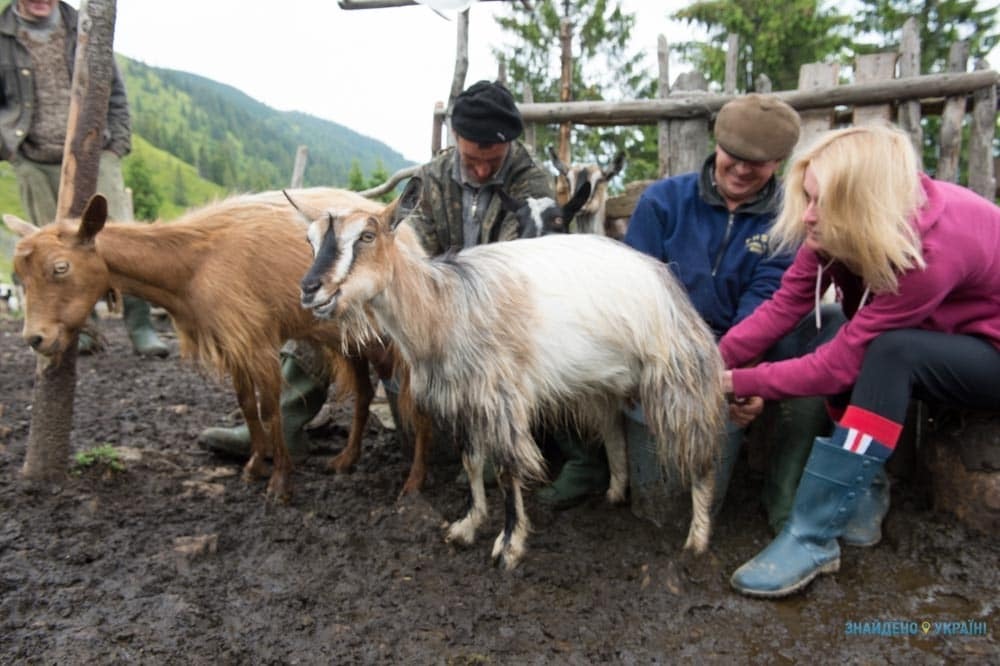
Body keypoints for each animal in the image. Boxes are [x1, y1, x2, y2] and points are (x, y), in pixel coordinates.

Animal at [4, 187, 434, 498]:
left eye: (61, 268)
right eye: (19, 275)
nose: (36, 338)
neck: (194, 261)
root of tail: (410, 236)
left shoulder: (256, 337)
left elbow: (270, 409)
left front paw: (280, 482)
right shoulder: (233, 341)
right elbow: (246, 404)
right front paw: (255, 465)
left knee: (413, 399)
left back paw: (413, 480)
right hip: (351, 340)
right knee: (363, 392)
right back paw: (346, 459)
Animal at [296, 201, 728, 564]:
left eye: (367, 236)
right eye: (310, 240)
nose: (310, 289)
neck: (443, 306)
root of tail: (663, 277)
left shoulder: (500, 397)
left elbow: (507, 471)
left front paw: (509, 545)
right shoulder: (464, 398)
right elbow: (472, 463)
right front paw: (467, 525)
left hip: (677, 374)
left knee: (700, 453)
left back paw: (698, 538)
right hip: (602, 381)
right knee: (612, 428)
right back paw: (616, 491)